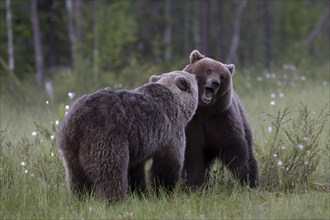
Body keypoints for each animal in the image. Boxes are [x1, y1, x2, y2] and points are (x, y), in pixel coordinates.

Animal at [57, 71, 199, 203]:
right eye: (194, 80)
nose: (195, 75)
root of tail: (78, 119)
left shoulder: (138, 145)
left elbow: (135, 171)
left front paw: (139, 193)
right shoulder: (171, 132)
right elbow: (168, 165)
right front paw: (164, 192)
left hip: (71, 147)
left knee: (76, 176)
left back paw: (80, 198)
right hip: (107, 137)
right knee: (111, 171)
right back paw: (113, 200)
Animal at [182, 50, 260, 189]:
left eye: (222, 76)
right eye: (208, 70)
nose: (215, 82)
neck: (204, 111)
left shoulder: (222, 119)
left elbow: (235, 148)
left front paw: (244, 179)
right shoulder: (193, 124)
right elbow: (192, 154)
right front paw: (194, 184)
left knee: (250, 153)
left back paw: (253, 181)